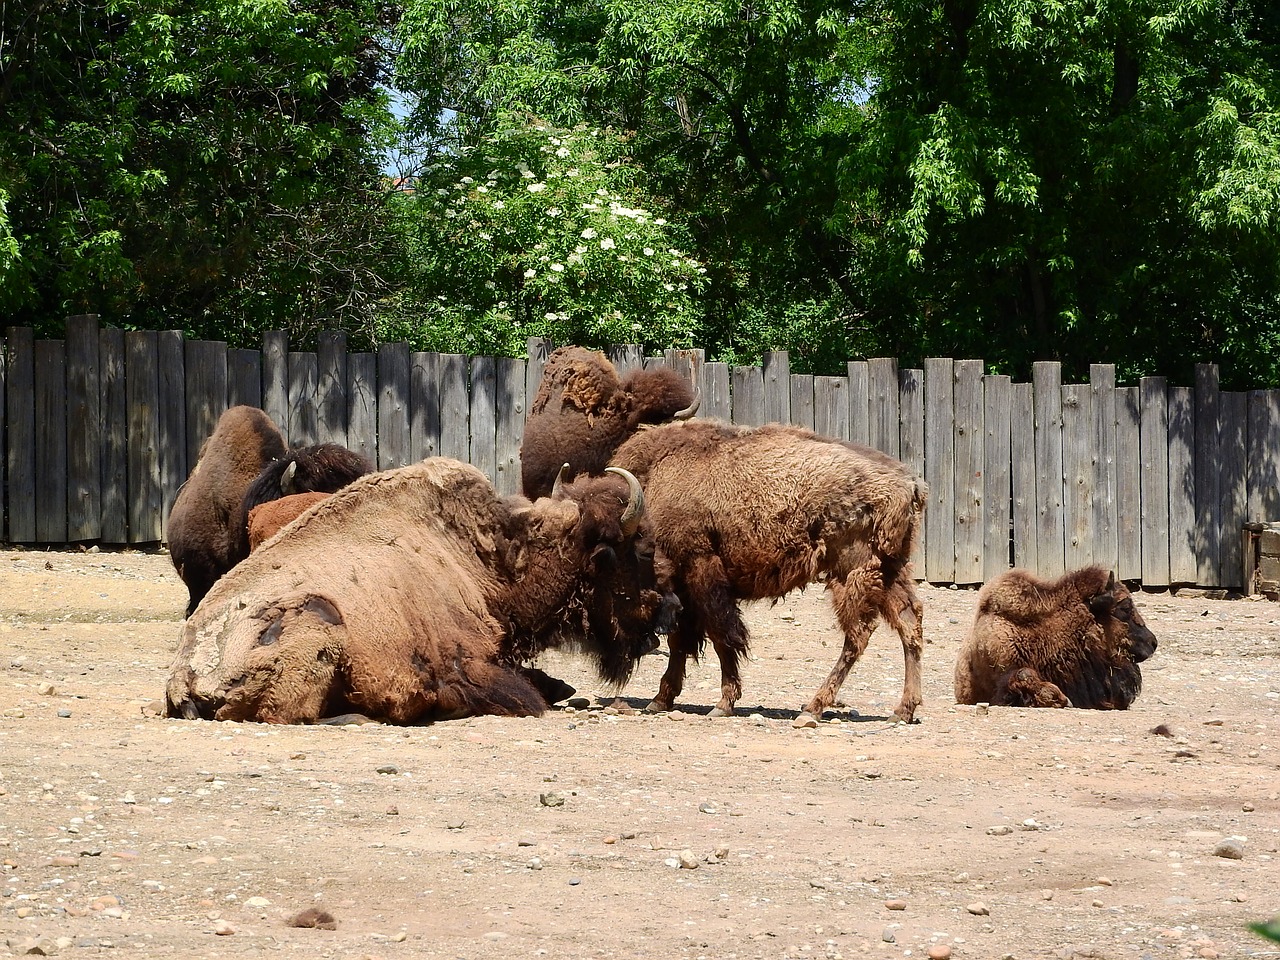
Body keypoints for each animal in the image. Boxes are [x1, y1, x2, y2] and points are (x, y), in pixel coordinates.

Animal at [166, 463, 686, 727]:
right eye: (641, 549)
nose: (671, 611)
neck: (488, 558)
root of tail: (184, 676)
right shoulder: (464, 661)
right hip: (318, 615)